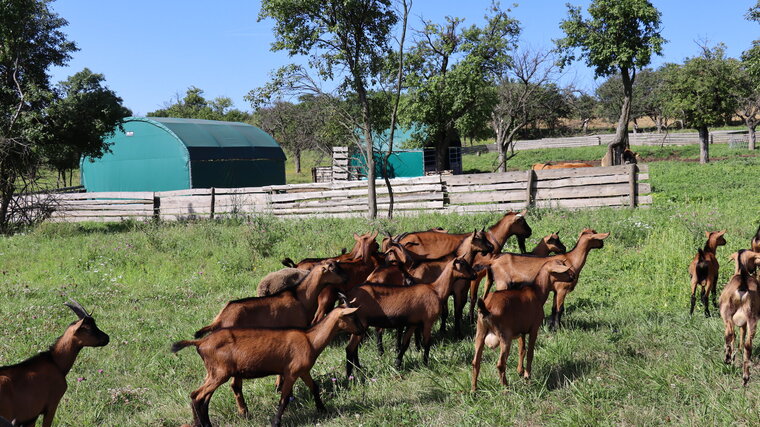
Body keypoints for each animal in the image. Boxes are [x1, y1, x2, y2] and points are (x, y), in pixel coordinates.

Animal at [174, 306, 364, 427]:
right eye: (353, 316)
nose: (361, 330)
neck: (310, 340)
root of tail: (200, 342)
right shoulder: (291, 372)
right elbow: (284, 398)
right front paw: (276, 422)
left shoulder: (303, 371)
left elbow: (314, 387)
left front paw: (322, 409)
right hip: (220, 373)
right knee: (198, 396)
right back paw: (204, 424)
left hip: (212, 373)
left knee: (200, 397)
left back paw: (203, 423)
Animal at [344, 258, 476, 378]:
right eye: (463, 265)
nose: (474, 275)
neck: (436, 290)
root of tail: (349, 295)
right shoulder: (428, 322)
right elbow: (427, 342)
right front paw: (425, 363)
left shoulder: (413, 324)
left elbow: (404, 344)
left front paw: (397, 364)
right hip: (361, 323)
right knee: (350, 348)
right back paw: (350, 376)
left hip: (359, 326)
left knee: (354, 348)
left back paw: (359, 368)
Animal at [470, 260, 576, 392]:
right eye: (564, 269)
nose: (573, 276)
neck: (536, 292)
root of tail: (486, 308)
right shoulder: (534, 329)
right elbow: (530, 352)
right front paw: (527, 375)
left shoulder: (521, 331)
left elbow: (522, 350)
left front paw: (520, 371)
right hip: (505, 337)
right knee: (500, 364)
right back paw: (506, 388)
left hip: (480, 333)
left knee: (475, 362)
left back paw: (473, 389)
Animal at [720, 251, 760, 388]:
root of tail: (743, 285)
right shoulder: (745, 322)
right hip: (752, 318)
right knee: (748, 344)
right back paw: (745, 377)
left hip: (726, 312)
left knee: (730, 333)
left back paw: (728, 358)